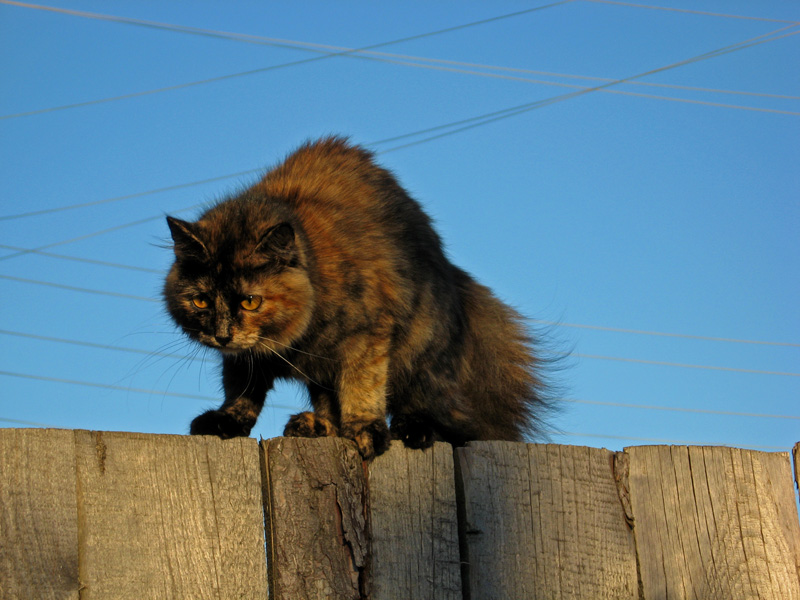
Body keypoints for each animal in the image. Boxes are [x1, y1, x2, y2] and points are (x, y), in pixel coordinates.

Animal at [162, 137, 552, 460]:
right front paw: (227, 420)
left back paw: (412, 429)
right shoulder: (249, 358)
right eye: (201, 302)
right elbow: (242, 389)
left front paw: (365, 429)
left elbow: (362, 384)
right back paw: (315, 426)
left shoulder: (368, 333)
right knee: (328, 407)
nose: (221, 335)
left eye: (250, 302)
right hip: (323, 375)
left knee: (441, 416)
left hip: (422, 352)